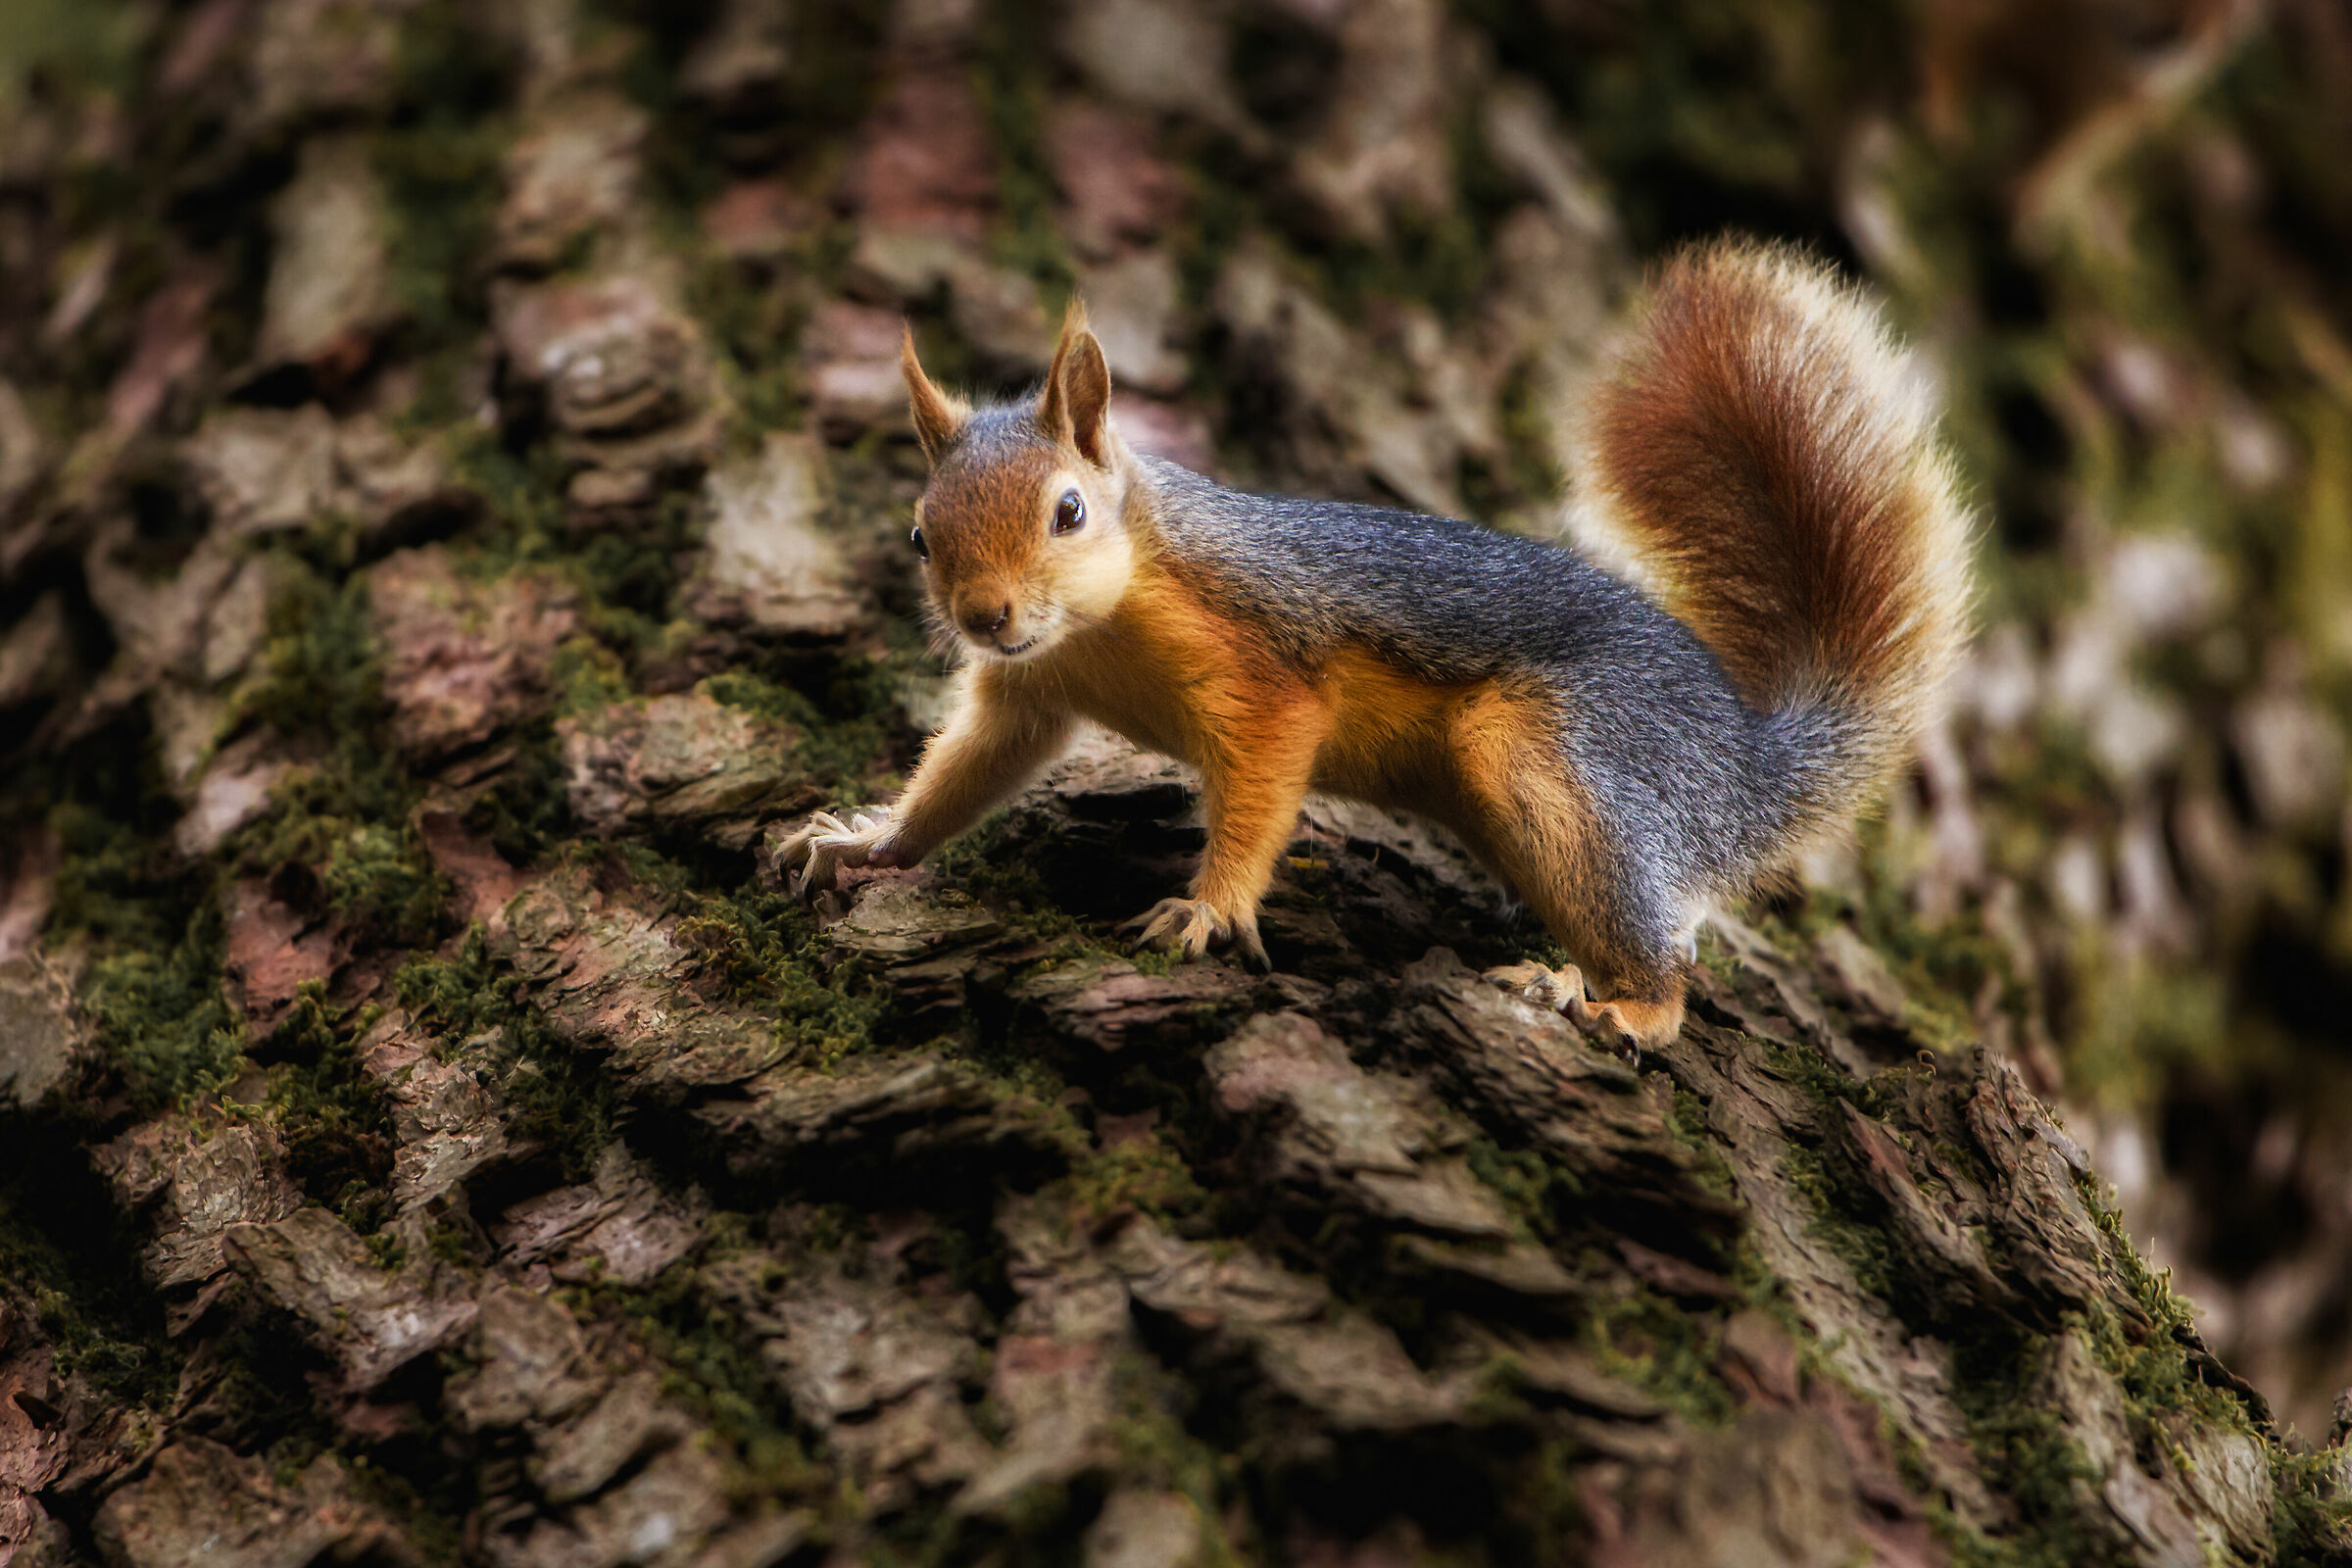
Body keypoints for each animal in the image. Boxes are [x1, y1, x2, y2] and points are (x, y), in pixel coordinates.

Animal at [781, 239, 1973, 1050]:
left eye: (1069, 512)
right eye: (920, 533)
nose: (986, 618)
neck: (1100, 622)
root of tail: (1746, 768)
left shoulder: (1259, 663)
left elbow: (1264, 777)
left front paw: (1209, 908)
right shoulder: (1027, 695)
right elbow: (968, 771)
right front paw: (864, 841)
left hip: (1567, 759)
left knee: (1672, 965)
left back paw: (1609, 1002)